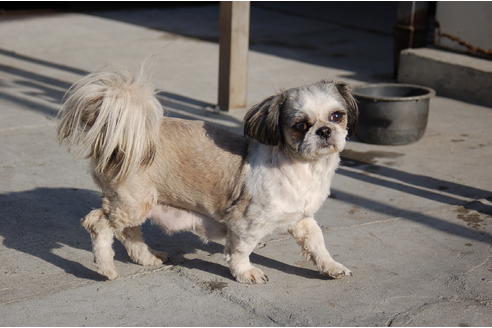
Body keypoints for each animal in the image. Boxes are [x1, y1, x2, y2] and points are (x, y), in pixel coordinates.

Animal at [57, 70, 358, 284]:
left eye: (337, 116)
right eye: (300, 125)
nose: (324, 130)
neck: (303, 167)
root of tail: (120, 137)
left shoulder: (301, 219)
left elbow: (316, 243)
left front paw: (332, 266)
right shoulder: (246, 223)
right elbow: (240, 251)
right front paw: (245, 272)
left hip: (139, 203)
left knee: (129, 233)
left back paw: (148, 258)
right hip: (132, 203)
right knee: (99, 224)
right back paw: (106, 268)